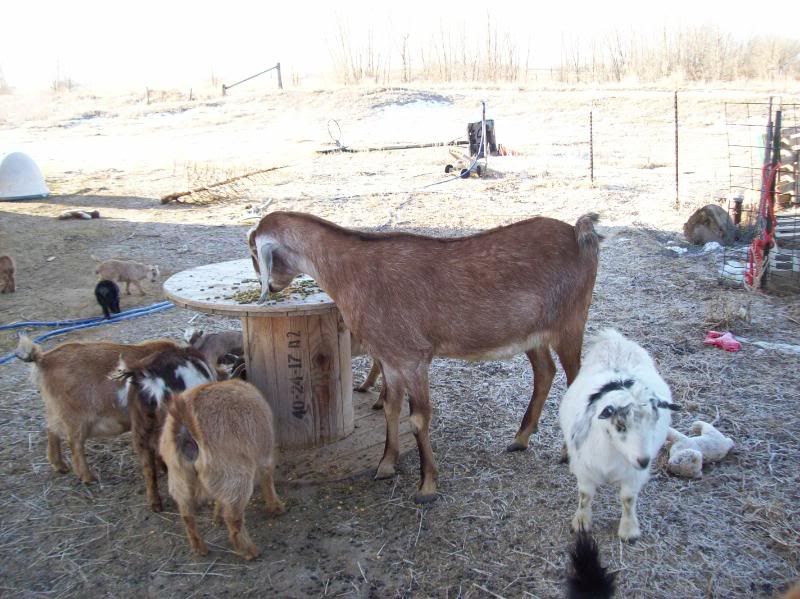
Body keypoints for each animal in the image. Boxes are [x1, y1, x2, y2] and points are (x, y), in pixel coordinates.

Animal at [15, 335, 179, 483]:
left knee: (51, 429)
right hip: (75, 417)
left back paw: (60, 466)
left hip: (54, 409)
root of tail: (44, 359)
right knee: (74, 443)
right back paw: (88, 477)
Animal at [159, 379, 285, 559]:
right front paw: (276, 507)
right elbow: (267, 479)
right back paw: (248, 550)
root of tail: (185, 416)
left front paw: (216, 517)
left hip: (180, 477)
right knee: (233, 517)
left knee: (187, 514)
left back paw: (199, 547)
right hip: (236, 474)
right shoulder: (264, 456)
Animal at [247, 210, 601, 502]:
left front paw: (427, 485)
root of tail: (578, 232)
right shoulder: (390, 358)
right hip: (533, 334)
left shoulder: (413, 356)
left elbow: (418, 418)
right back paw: (520, 438)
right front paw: (386, 465)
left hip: (571, 322)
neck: (350, 274)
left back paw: (567, 453)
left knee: (577, 380)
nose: (272, 287)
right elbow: (390, 408)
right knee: (545, 372)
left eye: (255, 253)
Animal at [559, 329, 679, 541]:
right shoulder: (584, 468)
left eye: (654, 420)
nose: (643, 461)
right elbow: (585, 496)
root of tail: (615, 339)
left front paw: (629, 530)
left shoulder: (634, 475)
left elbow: (628, 499)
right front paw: (581, 522)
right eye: (620, 425)